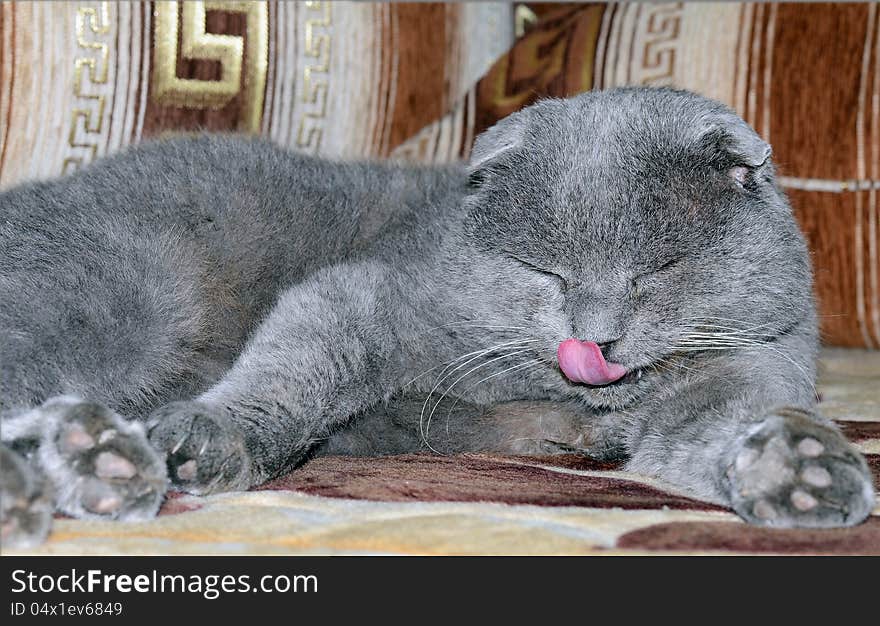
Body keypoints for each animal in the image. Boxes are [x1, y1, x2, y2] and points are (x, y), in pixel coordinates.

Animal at [0, 85, 872, 544]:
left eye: (656, 270)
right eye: (546, 271)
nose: (595, 338)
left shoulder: (754, 365)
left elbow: (718, 430)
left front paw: (799, 469)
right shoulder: (377, 295)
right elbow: (297, 363)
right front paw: (214, 437)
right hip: (133, 296)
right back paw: (96, 461)